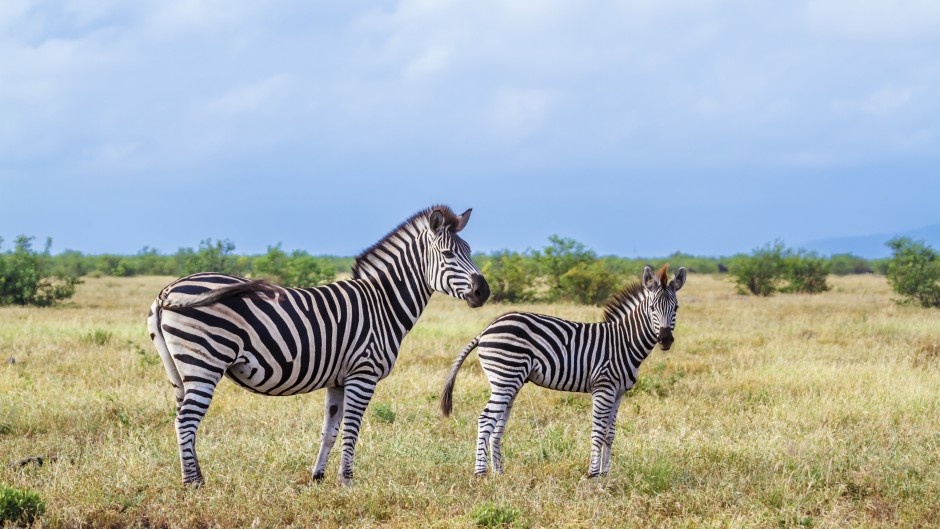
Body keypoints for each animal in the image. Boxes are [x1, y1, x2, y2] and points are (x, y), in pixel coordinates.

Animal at [147, 206, 490, 486]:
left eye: (470, 251)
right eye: (448, 255)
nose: (483, 292)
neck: (382, 304)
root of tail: (168, 289)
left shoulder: (338, 380)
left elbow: (329, 431)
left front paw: (318, 476)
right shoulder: (363, 374)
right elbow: (351, 430)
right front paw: (347, 481)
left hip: (179, 370)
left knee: (182, 419)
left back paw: (197, 476)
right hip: (204, 362)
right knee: (186, 422)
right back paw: (193, 484)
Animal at [441, 264, 686, 478]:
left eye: (676, 308)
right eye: (652, 309)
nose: (665, 339)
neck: (623, 342)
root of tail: (486, 329)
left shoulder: (618, 393)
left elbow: (610, 434)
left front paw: (606, 475)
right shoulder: (603, 387)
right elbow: (598, 432)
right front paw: (593, 475)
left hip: (509, 383)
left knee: (497, 424)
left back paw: (499, 474)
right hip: (505, 378)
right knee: (485, 420)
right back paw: (480, 474)